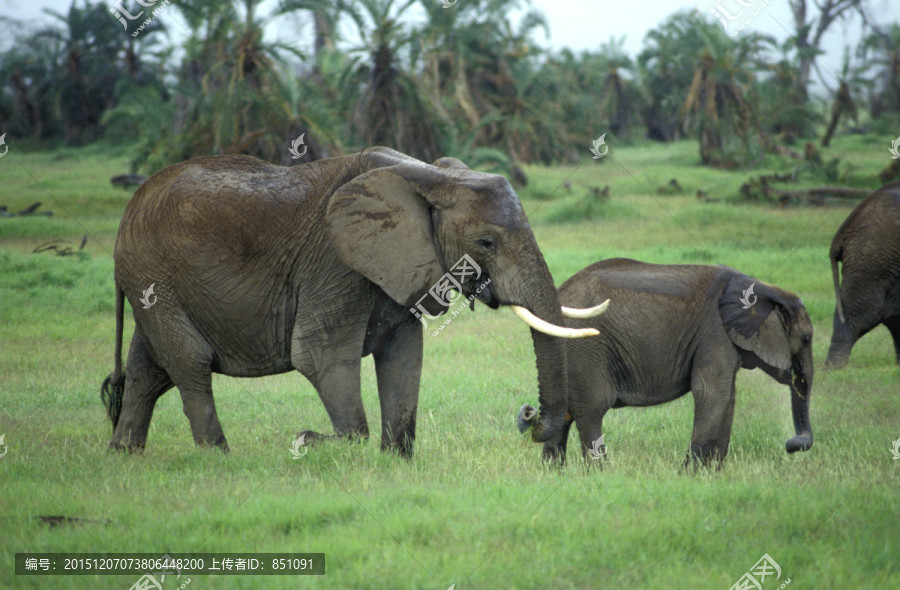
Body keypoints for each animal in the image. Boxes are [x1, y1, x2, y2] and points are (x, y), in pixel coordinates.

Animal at [100, 147, 604, 458]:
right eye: (486, 242)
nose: (528, 414)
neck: (430, 176)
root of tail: (126, 212)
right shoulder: (333, 264)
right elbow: (319, 355)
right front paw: (312, 439)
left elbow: (404, 354)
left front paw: (396, 457)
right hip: (153, 274)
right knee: (189, 363)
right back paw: (218, 457)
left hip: (153, 283)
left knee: (149, 369)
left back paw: (124, 455)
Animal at [512, 260, 816, 468]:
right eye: (807, 339)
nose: (792, 444)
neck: (764, 288)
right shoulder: (715, 333)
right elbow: (711, 393)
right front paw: (692, 475)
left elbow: (727, 396)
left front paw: (713, 473)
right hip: (586, 347)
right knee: (591, 411)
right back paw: (598, 475)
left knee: (564, 414)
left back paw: (554, 474)